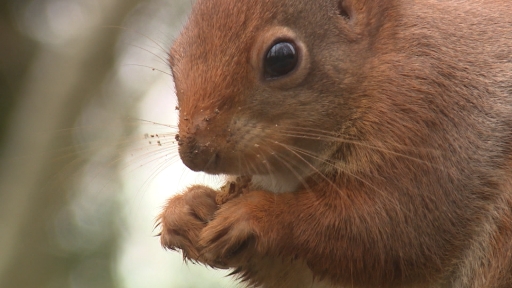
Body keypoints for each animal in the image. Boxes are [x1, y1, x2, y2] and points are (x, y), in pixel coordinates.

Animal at [158, 0, 512, 286]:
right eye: (173, 61)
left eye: (281, 58)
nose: (194, 153)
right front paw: (185, 211)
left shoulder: (433, 117)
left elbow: (393, 228)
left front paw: (257, 215)